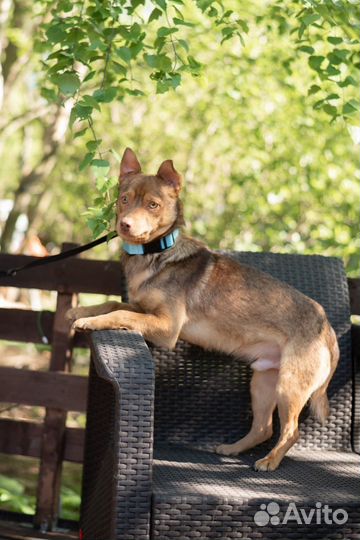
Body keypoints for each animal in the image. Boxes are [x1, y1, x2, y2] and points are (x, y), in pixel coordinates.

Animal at [66, 149, 338, 472]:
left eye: (153, 205)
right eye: (124, 199)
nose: (125, 225)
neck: (156, 253)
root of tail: (327, 328)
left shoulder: (167, 327)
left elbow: (121, 315)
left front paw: (88, 321)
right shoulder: (143, 308)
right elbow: (113, 304)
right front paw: (81, 311)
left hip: (289, 386)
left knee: (290, 431)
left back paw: (268, 462)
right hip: (263, 381)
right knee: (264, 427)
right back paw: (233, 449)